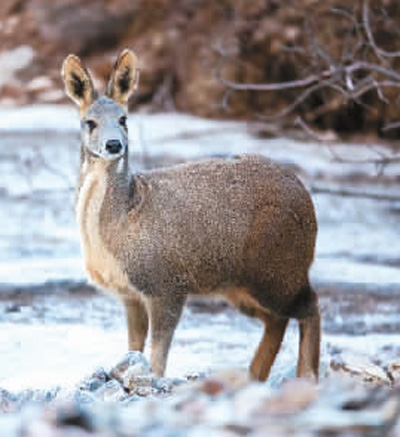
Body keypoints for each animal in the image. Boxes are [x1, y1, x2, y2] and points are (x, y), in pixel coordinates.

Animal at [61, 49, 320, 380]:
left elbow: (158, 357)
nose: (114, 144)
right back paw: (254, 375)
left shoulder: (167, 284)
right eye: (90, 123)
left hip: (278, 267)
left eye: (124, 119)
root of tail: (305, 196)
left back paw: (306, 375)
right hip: (241, 284)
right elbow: (134, 347)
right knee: (277, 319)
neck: (123, 219)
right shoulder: (129, 294)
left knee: (310, 304)